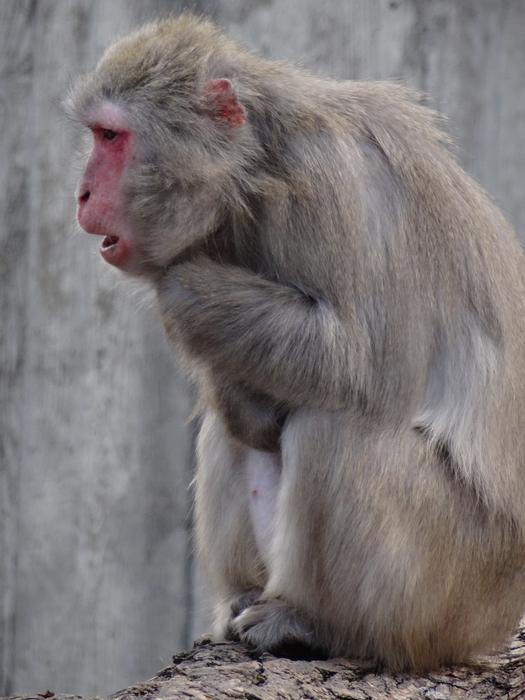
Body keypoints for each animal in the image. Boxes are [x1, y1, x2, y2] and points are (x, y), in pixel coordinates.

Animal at [67, 15, 525, 670]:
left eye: (111, 136)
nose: (81, 194)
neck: (259, 165)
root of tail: (491, 624)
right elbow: (251, 413)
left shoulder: (335, 187)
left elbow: (358, 362)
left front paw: (179, 282)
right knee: (231, 427)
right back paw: (245, 596)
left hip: (449, 590)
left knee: (338, 422)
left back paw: (309, 620)